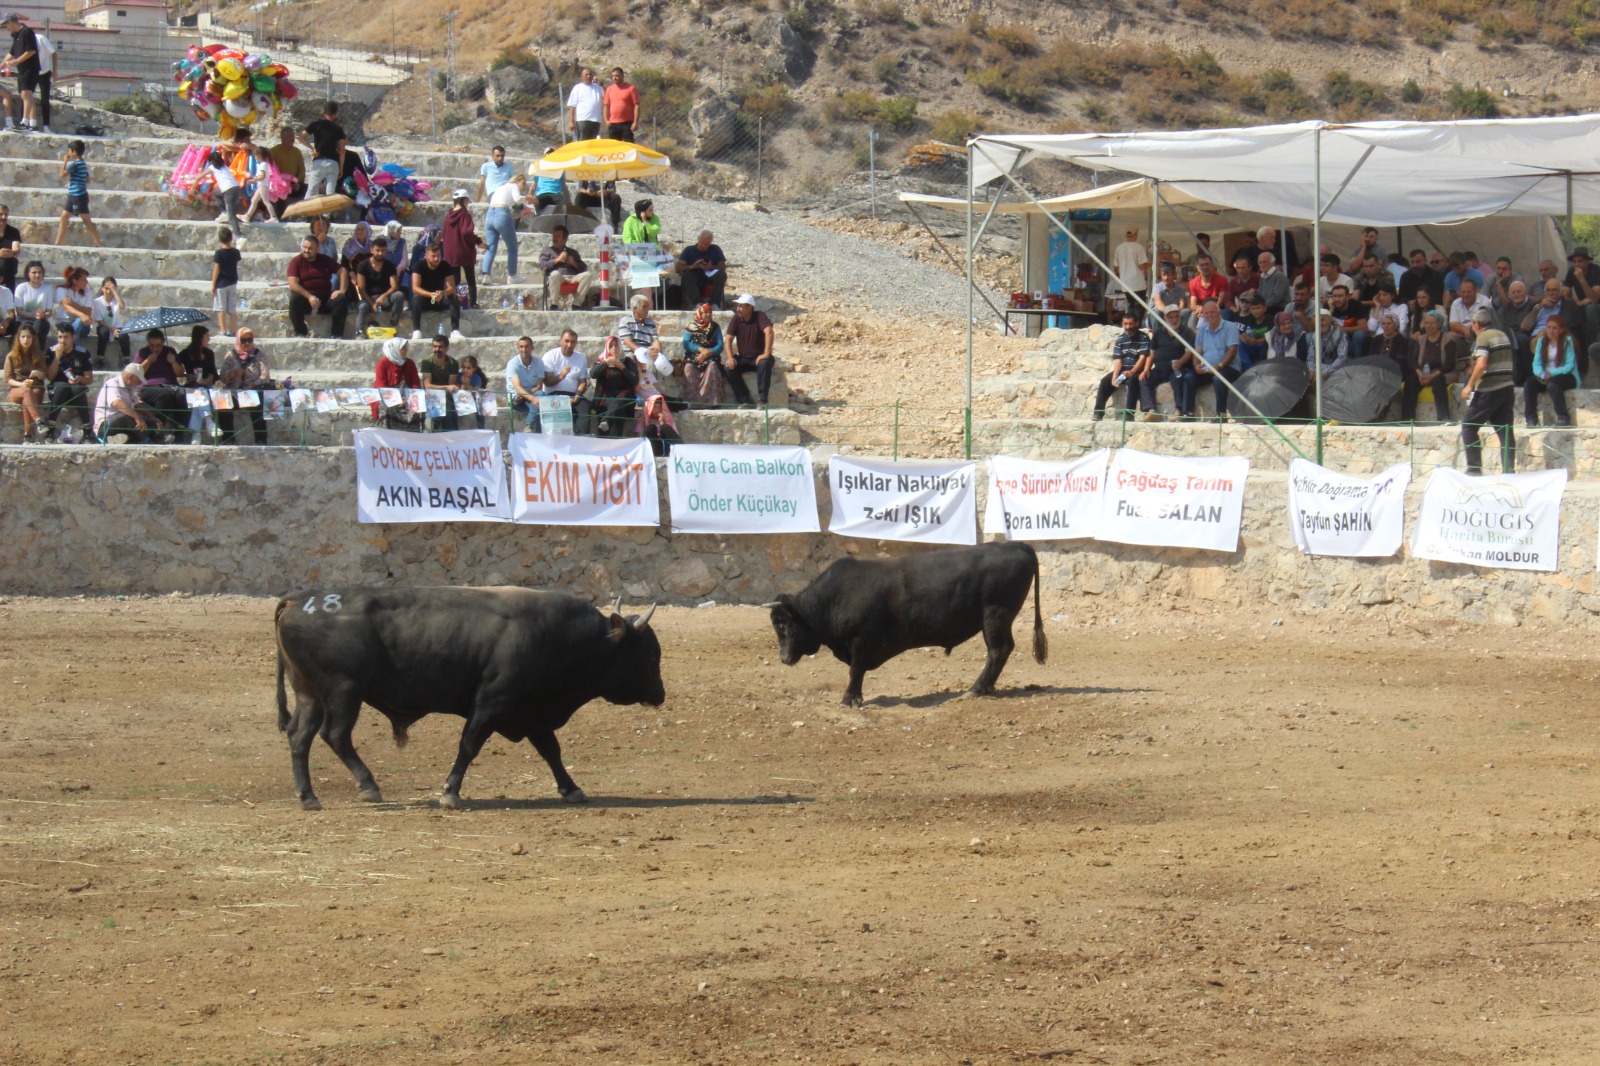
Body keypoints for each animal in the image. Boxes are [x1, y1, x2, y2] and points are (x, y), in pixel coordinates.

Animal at [275, 589, 662, 806]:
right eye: (647, 654)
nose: (660, 693)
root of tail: (297, 601)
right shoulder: (493, 702)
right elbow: (469, 745)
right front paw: (450, 792)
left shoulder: (532, 713)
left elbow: (551, 751)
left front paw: (571, 789)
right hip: (344, 691)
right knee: (335, 735)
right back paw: (368, 786)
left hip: (309, 694)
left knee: (299, 737)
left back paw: (308, 797)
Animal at [764, 541, 1049, 704]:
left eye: (782, 625)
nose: (784, 659)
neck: (834, 597)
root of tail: (1017, 546)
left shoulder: (861, 641)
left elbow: (855, 670)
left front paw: (850, 699)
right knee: (1002, 650)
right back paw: (986, 687)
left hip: (995, 616)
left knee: (998, 650)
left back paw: (976, 688)